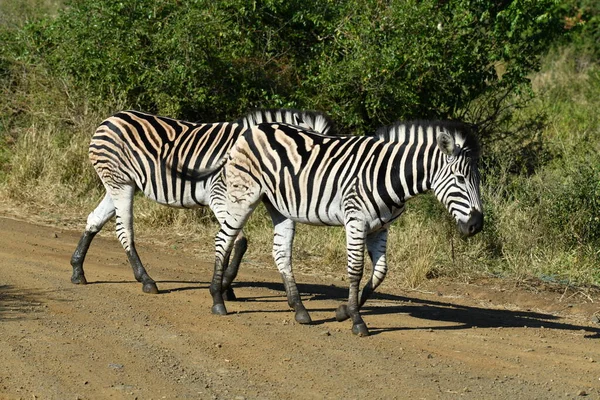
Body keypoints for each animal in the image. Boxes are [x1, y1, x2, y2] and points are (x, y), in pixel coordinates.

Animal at [70, 108, 338, 296]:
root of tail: (110, 119)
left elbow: (231, 241)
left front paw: (224, 288)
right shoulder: (218, 195)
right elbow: (237, 241)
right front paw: (225, 286)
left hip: (119, 184)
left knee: (94, 219)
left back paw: (77, 270)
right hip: (120, 182)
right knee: (124, 230)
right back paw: (146, 280)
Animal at [202, 120, 482, 336]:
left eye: (478, 180)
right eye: (459, 179)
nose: (476, 225)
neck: (389, 175)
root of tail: (252, 129)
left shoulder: (380, 228)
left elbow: (380, 272)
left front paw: (343, 311)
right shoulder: (356, 221)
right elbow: (355, 270)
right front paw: (357, 320)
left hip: (279, 207)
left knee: (280, 253)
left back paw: (299, 309)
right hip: (243, 195)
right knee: (224, 239)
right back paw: (217, 299)